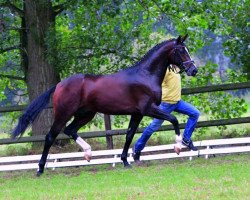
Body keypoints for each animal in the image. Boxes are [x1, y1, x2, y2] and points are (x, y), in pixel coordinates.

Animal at [12, 35, 197, 176]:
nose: (193, 70)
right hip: (63, 114)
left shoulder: (137, 113)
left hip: (85, 114)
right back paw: (40, 169)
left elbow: (129, 135)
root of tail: (59, 85)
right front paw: (178, 146)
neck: (146, 75)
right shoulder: (148, 109)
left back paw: (88, 153)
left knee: (70, 130)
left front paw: (125, 161)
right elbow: (174, 119)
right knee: (50, 136)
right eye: (180, 50)